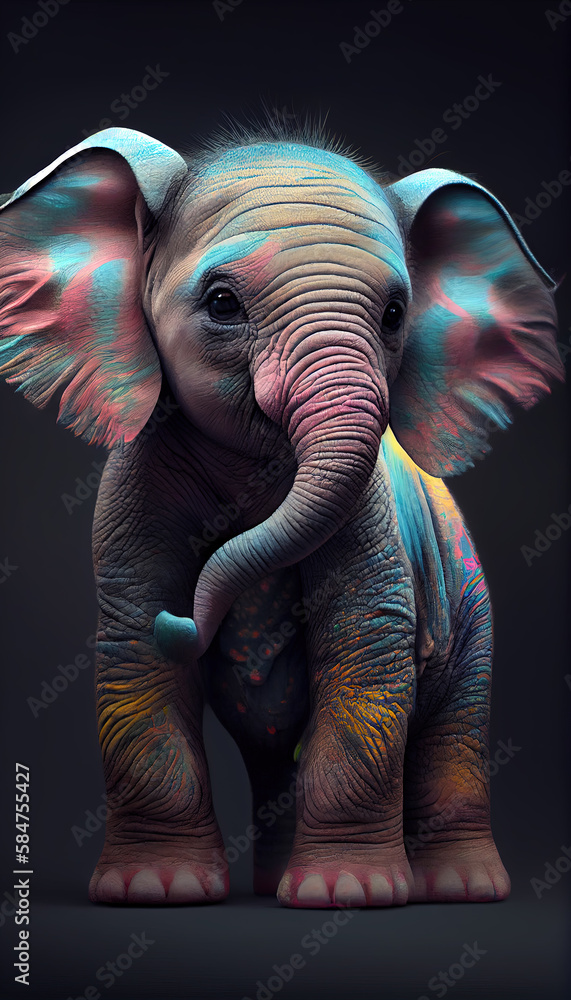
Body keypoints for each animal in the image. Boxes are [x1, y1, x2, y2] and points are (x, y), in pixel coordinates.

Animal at [0, 123, 562, 909]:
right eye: (222, 303)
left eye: (395, 316)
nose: (184, 621)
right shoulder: (132, 495)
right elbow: (133, 658)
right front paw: (156, 888)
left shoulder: (373, 520)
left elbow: (366, 653)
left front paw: (349, 895)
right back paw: (269, 885)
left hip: (471, 604)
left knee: (454, 728)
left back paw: (458, 887)